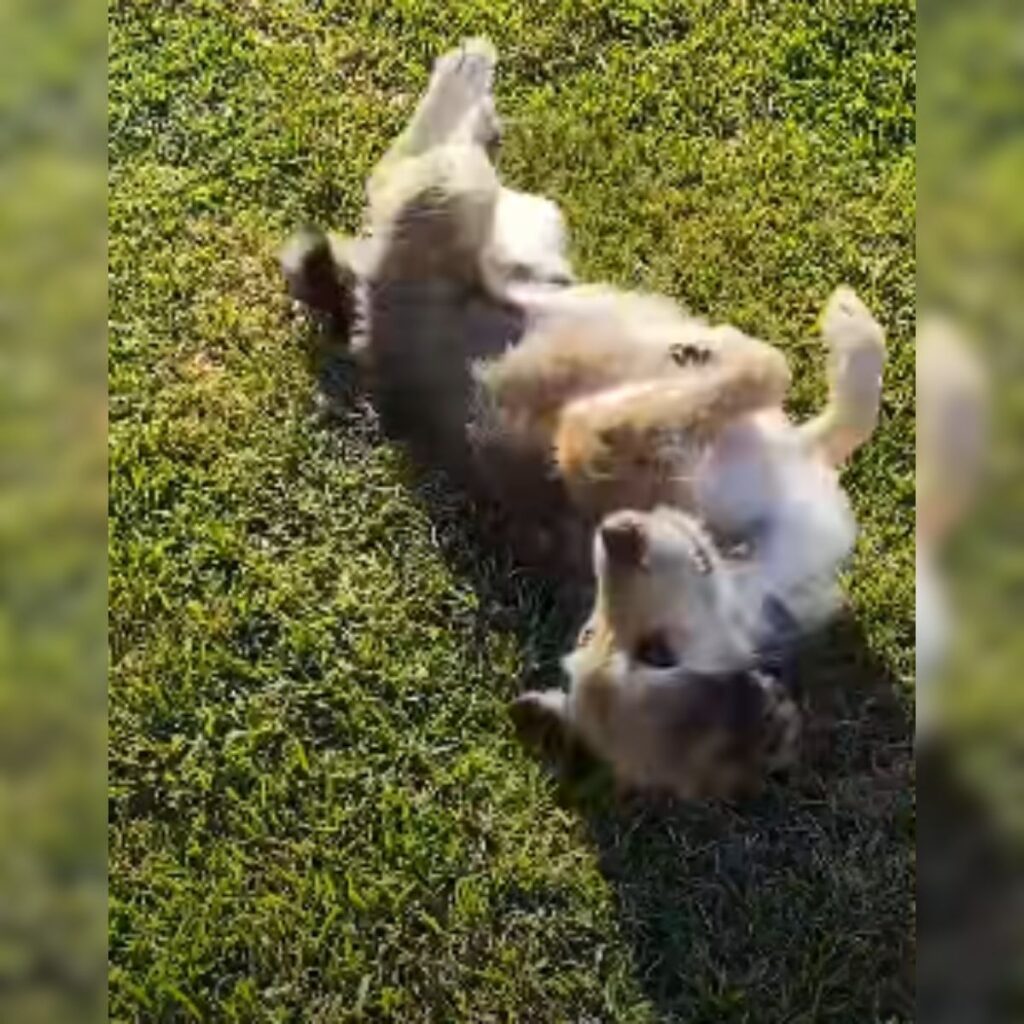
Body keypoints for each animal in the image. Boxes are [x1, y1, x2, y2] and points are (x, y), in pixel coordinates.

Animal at [282, 39, 888, 794]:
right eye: (641, 649)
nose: (617, 535)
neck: (749, 568)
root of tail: (369, 330)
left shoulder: (802, 451)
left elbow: (855, 403)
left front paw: (847, 325)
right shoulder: (588, 437)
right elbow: (767, 367)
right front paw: (728, 348)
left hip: (532, 228)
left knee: (433, 171)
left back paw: (479, 107)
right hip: (454, 199)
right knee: (404, 161)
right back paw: (465, 72)